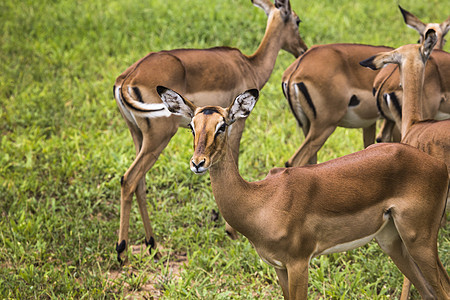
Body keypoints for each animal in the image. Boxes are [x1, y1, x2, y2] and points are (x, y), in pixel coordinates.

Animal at [114, 0, 308, 262]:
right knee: (129, 179)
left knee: (139, 183)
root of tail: (126, 79)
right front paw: (231, 231)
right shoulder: (237, 125)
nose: (303, 49)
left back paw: (152, 244)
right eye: (297, 20)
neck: (249, 65)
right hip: (158, 138)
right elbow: (234, 158)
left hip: (139, 136)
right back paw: (122, 251)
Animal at [156, 85, 450, 298]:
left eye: (222, 125)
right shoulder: (279, 267)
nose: (198, 163)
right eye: (191, 126)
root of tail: (438, 165)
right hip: (392, 241)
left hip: (420, 240)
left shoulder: (299, 263)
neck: (260, 201)